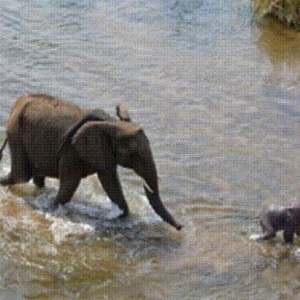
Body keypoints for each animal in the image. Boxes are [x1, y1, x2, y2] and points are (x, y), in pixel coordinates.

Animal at [0, 94, 183, 230]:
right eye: (134, 154)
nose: (181, 226)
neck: (112, 122)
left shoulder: (104, 152)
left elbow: (111, 183)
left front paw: (119, 216)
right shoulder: (72, 150)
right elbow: (69, 185)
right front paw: (51, 208)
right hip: (16, 132)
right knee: (21, 176)